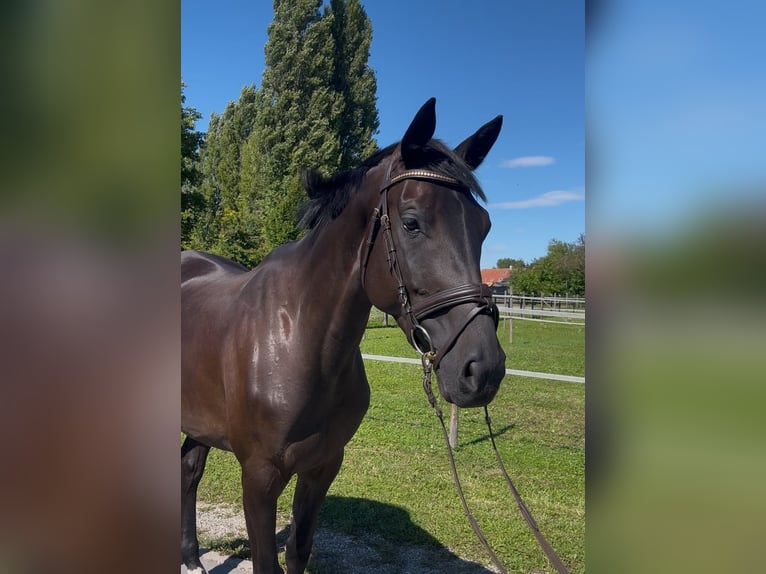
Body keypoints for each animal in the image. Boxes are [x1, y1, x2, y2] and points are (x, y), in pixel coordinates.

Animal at [181, 98, 506, 574]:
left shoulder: (322, 467)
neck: (299, 338)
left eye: (482, 226)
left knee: (188, 470)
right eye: (412, 223)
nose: (483, 368)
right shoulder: (259, 476)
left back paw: (189, 558)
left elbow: (298, 549)